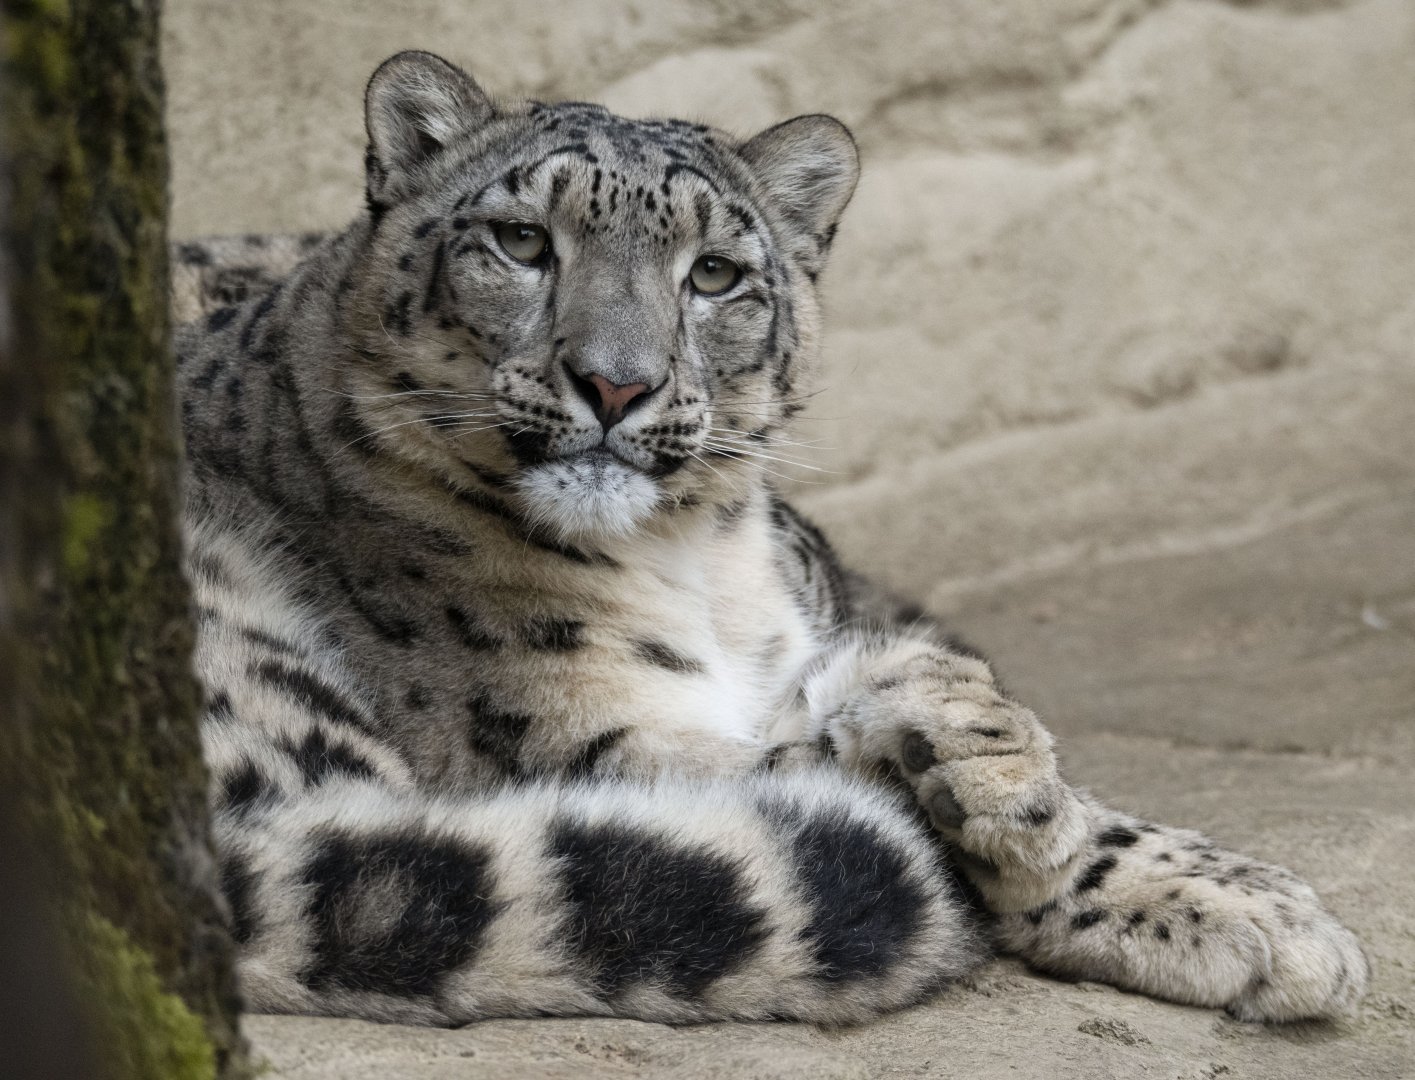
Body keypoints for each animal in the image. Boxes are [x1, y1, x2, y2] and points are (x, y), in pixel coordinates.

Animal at [173, 50, 1367, 1028]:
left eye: (713, 273)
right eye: (518, 241)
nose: (615, 382)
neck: (697, 563)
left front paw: (1252, 904)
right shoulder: (579, 738)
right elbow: (817, 771)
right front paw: (986, 773)